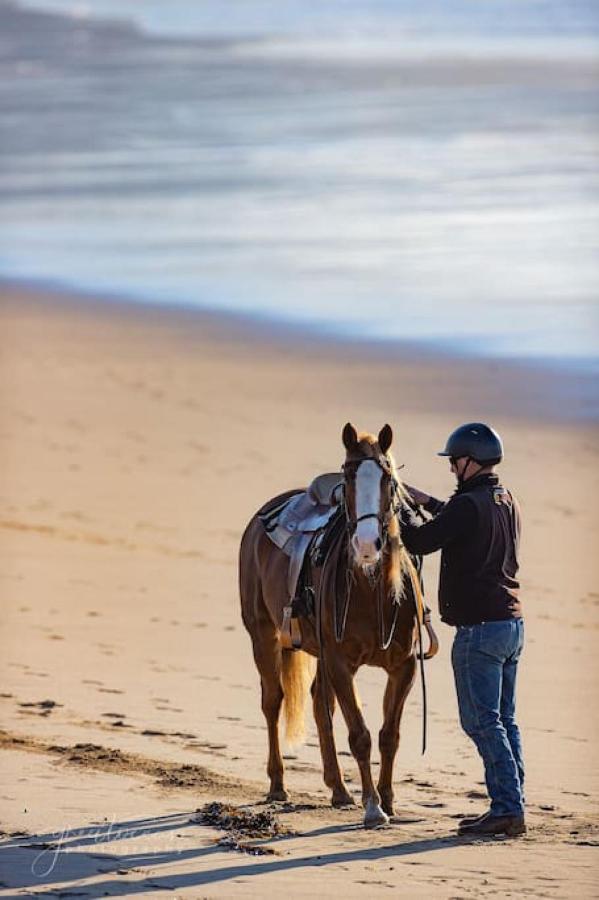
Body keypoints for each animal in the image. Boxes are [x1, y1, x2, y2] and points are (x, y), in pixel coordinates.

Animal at [240, 424, 426, 828]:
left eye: (388, 479)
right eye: (348, 477)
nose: (368, 544)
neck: (371, 591)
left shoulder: (403, 666)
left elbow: (389, 735)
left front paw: (388, 801)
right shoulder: (341, 663)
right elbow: (360, 735)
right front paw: (372, 806)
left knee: (319, 704)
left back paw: (338, 789)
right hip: (263, 634)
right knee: (273, 701)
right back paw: (278, 784)